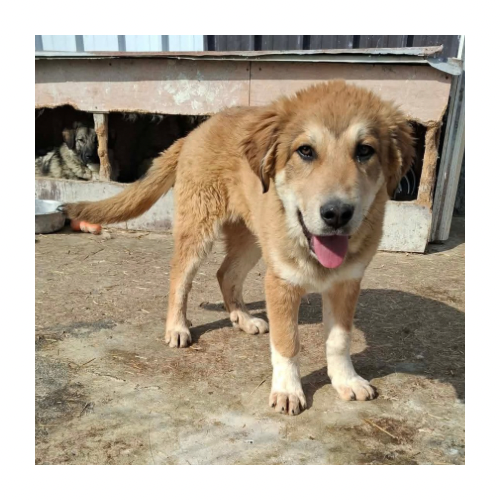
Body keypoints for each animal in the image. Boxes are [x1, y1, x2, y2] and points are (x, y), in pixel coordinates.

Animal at [64, 81, 414, 416]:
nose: (337, 214)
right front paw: (288, 390)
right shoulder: (281, 282)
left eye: (365, 150)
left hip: (252, 238)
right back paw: (177, 327)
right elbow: (287, 343)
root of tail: (195, 132)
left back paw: (243, 318)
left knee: (225, 273)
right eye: (305, 151)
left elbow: (340, 340)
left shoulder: (347, 283)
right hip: (199, 227)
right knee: (180, 276)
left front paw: (346, 380)